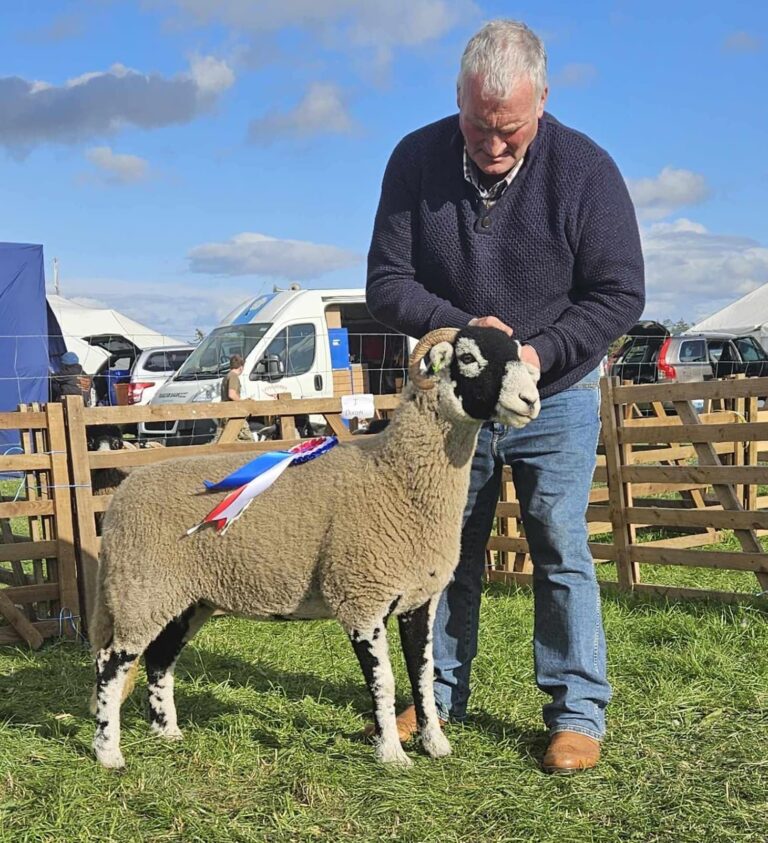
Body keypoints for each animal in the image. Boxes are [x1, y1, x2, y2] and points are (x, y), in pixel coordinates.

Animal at [90, 326, 540, 768]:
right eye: (468, 358)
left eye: (518, 354)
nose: (530, 400)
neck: (393, 476)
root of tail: (122, 493)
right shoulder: (360, 598)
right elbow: (385, 682)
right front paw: (392, 754)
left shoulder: (418, 599)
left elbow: (422, 676)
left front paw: (435, 745)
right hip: (141, 590)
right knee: (111, 663)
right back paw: (108, 752)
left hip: (185, 599)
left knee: (158, 659)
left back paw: (167, 733)